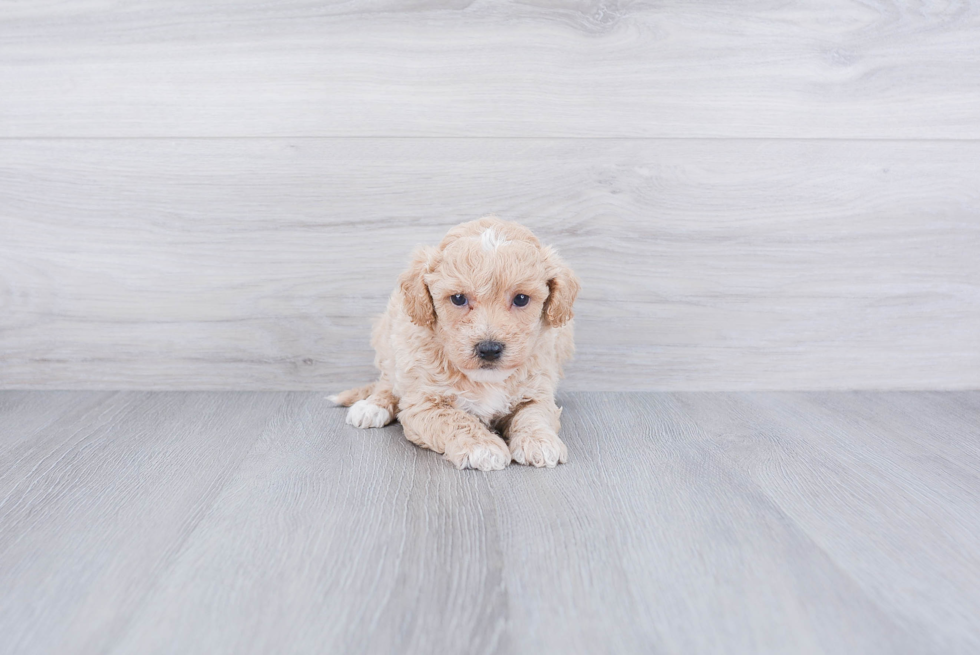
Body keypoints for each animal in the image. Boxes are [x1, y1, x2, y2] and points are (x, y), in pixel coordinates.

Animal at [330, 217, 580, 472]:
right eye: (458, 298)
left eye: (521, 299)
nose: (489, 349)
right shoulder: (424, 403)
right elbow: (456, 419)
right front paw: (483, 447)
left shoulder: (537, 389)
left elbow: (534, 414)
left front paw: (540, 441)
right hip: (389, 339)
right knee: (388, 380)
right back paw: (372, 406)